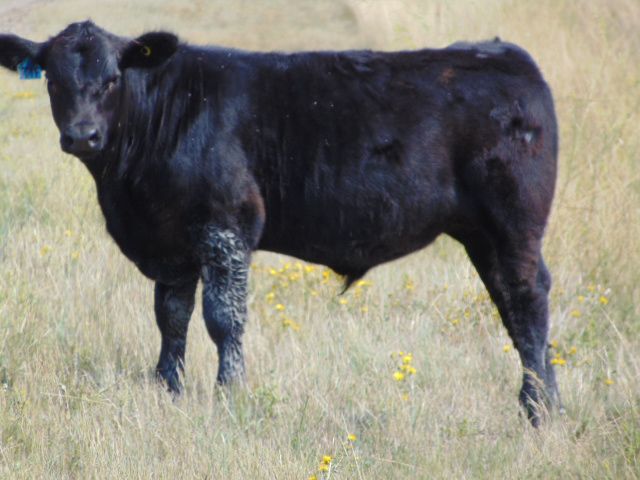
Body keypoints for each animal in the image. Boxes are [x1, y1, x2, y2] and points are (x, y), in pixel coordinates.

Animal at [0, 21, 559, 426]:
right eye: (52, 79)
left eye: (113, 78)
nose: (83, 135)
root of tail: (505, 53)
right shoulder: (171, 244)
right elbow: (171, 319)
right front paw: (167, 390)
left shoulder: (226, 225)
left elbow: (223, 319)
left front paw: (228, 395)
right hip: (483, 233)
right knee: (510, 305)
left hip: (513, 222)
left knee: (526, 300)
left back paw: (540, 411)